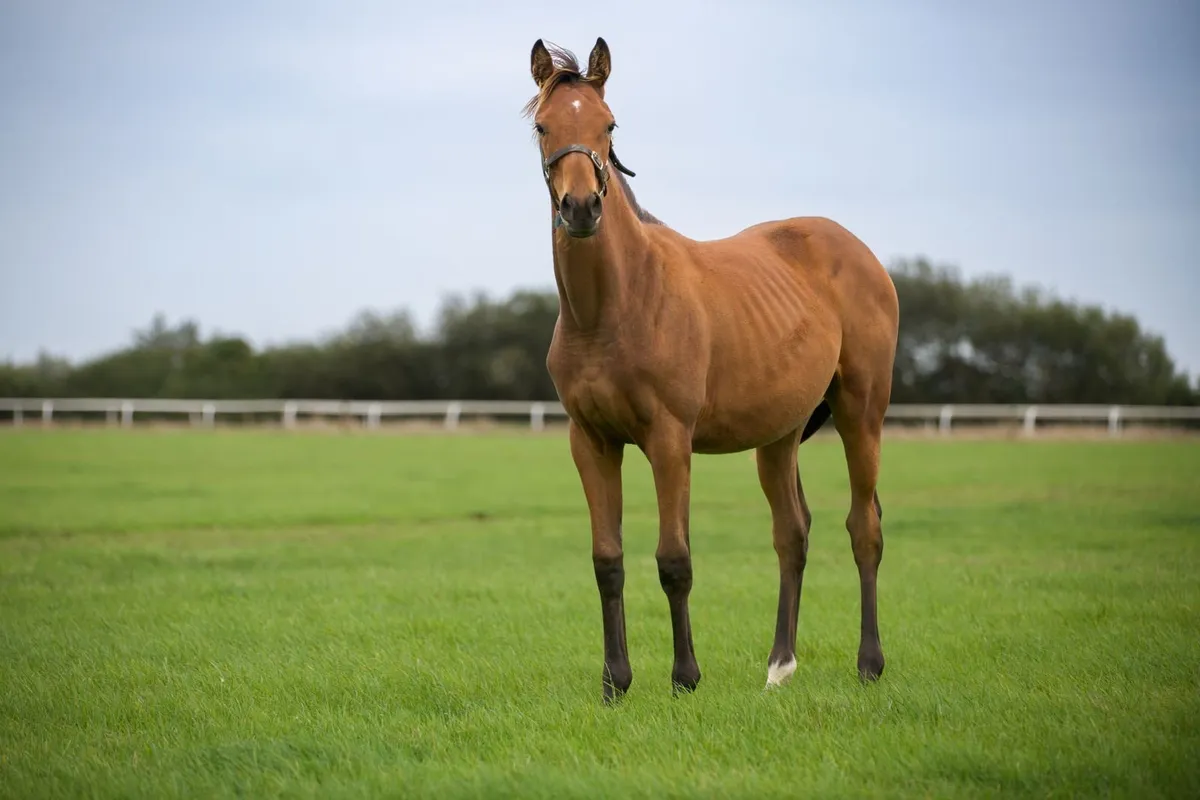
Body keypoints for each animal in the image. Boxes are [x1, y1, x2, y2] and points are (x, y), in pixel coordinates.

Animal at [525, 37, 900, 702]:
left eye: (609, 124)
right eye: (543, 126)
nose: (581, 208)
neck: (613, 307)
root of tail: (859, 252)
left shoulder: (670, 440)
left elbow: (674, 560)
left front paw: (685, 677)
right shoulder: (590, 441)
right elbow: (607, 561)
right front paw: (615, 682)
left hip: (862, 415)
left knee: (865, 529)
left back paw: (869, 663)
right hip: (779, 437)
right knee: (792, 534)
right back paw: (780, 666)